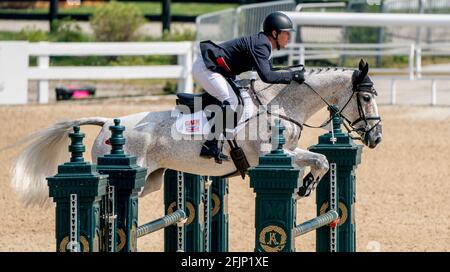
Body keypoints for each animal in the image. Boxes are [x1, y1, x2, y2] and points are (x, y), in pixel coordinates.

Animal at [10, 58, 382, 205]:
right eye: (365, 97)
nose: (376, 138)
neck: (281, 103)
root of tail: (106, 123)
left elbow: (319, 160)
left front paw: (305, 186)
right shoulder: (270, 155)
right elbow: (319, 159)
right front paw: (306, 184)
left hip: (150, 179)